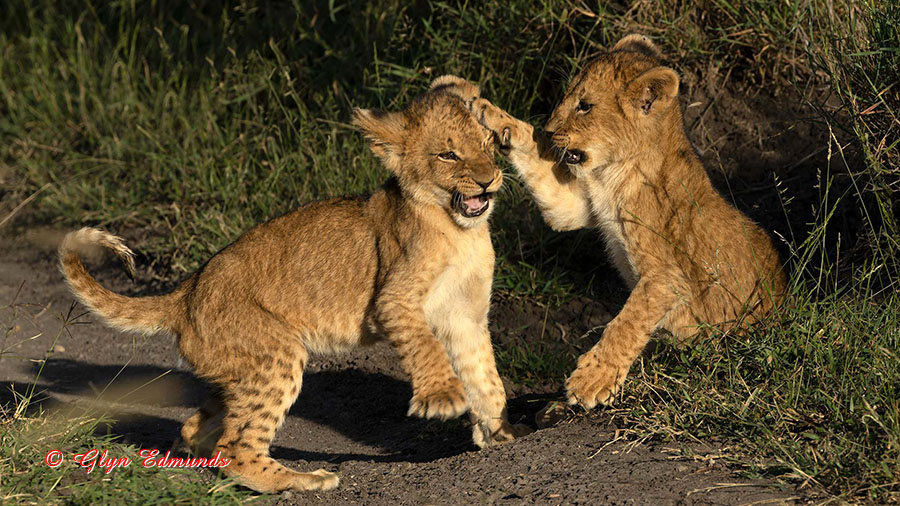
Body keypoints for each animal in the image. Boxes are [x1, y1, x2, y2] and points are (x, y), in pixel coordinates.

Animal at [58, 75, 530, 494]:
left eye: (489, 144)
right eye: (449, 155)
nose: (488, 179)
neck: (462, 230)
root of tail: (188, 291)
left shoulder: (466, 316)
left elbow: (486, 376)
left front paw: (501, 432)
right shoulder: (393, 299)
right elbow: (425, 344)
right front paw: (443, 396)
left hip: (237, 372)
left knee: (198, 426)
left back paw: (203, 450)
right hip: (276, 354)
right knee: (238, 449)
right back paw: (303, 479)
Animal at [471, 35, 787, 410]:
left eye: (585, 106)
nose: (549, 129)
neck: (614, 172)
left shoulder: (669, 277)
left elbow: (626, 322)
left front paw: (592, 380)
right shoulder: (577, 206)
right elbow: (539, 168)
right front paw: (491, 115)